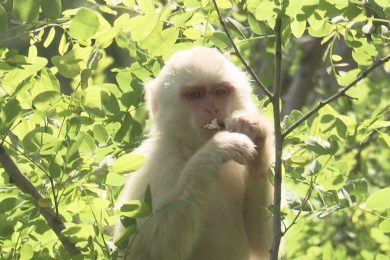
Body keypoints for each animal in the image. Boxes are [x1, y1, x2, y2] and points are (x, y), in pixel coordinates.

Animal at [114, 47, 274, 260]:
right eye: (195, 95)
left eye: (220, 92)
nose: (212, 108)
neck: (190, 147)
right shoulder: (163, 160)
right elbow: (143, 251)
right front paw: (216, 149)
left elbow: (262, 243)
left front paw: (255, 128)